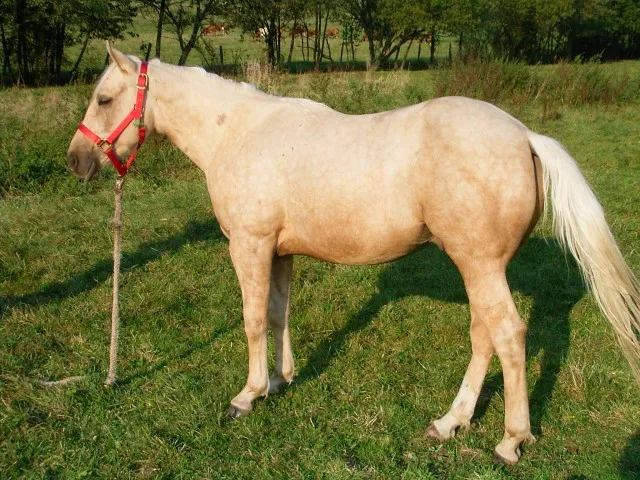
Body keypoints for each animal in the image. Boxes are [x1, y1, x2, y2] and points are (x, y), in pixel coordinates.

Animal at [67, 43, 640, 465]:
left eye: (103, 99)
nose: (76, 161)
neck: (238, 132)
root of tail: (524, 135)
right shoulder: (280, 252)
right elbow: (278, 314)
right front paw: (281, 380)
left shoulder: (249, 244)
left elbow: (252, 319)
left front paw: (247, 395)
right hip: (479, 267)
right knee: (484, 335)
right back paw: (449, 422)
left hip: (479, 264)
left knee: (509, 336)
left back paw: (509, 441)